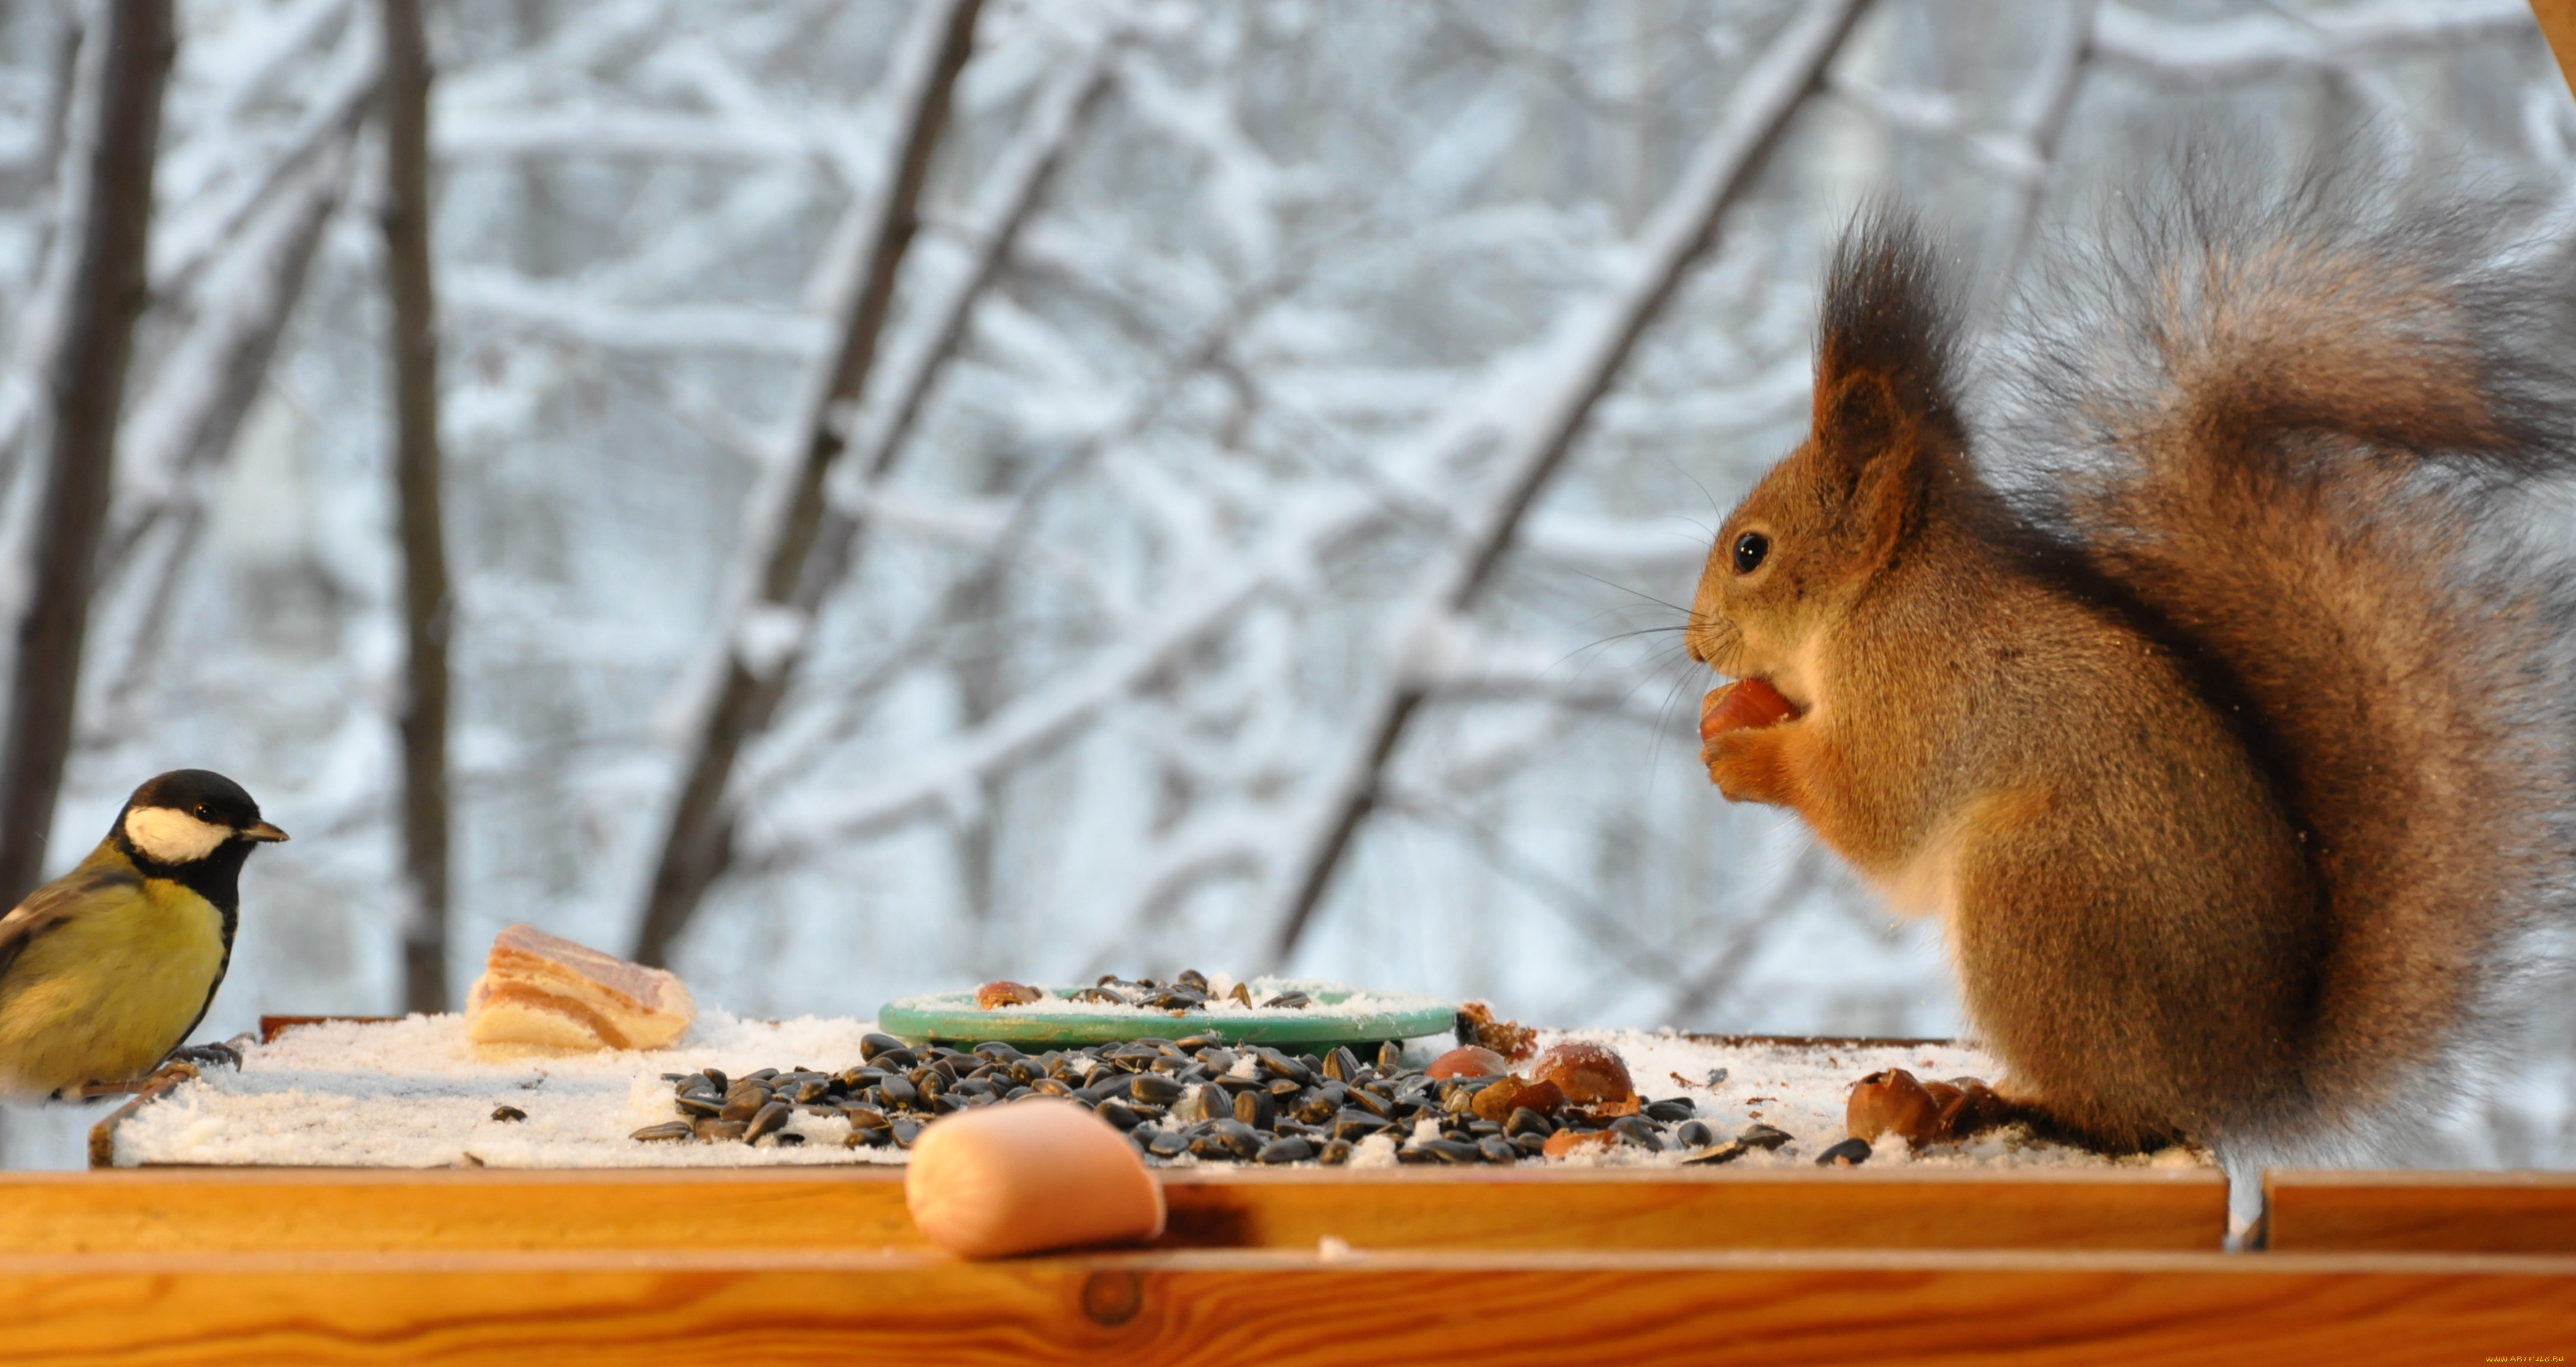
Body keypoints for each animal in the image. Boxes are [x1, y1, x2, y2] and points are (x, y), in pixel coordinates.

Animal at [1679, 168, 2576, 1153]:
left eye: (1751, 551)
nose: (1694, 644)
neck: (1884, 586)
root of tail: (2242, 1085)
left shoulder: (1912, 686)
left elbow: (1869, 802)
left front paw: (1743, 754)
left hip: (2035, 900)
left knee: (2117, 1113)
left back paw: (2004, 1103)